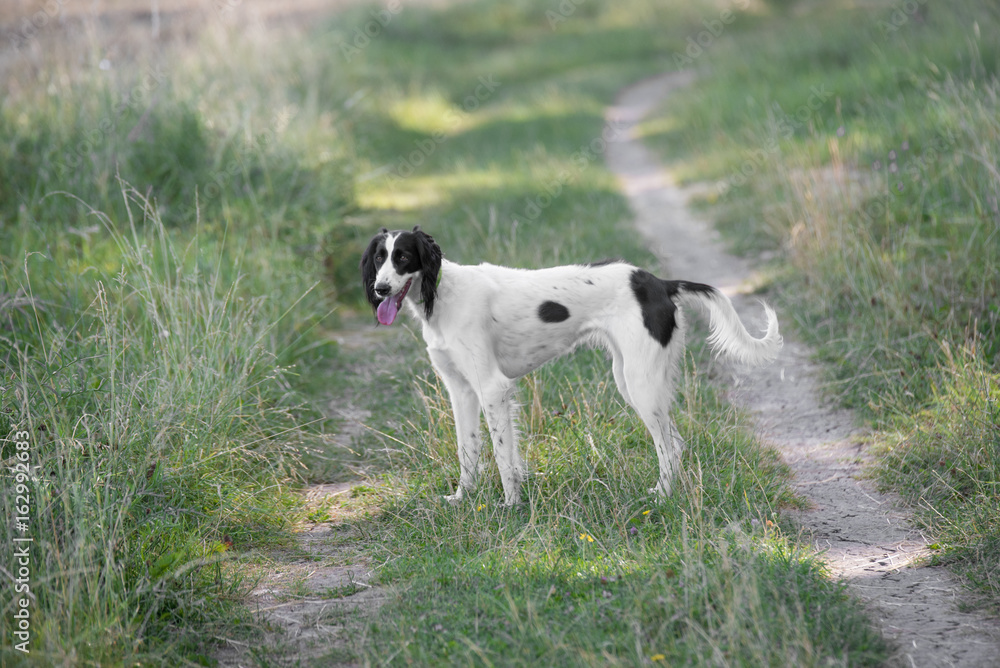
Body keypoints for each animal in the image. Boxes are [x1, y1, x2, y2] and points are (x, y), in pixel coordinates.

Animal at [360, 227, 780, 504]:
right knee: (675, 442)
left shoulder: (492, 388)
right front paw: (463, 499)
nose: (380, 289)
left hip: (641, 384)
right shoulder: (461, 391)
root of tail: (658, 282)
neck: (444, 295)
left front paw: (510, 506)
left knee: (668, 447)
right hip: (631, 381)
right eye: (380, 258)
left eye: (403, 257)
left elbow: (501, 455)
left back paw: (662, 496)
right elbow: (469, 451)